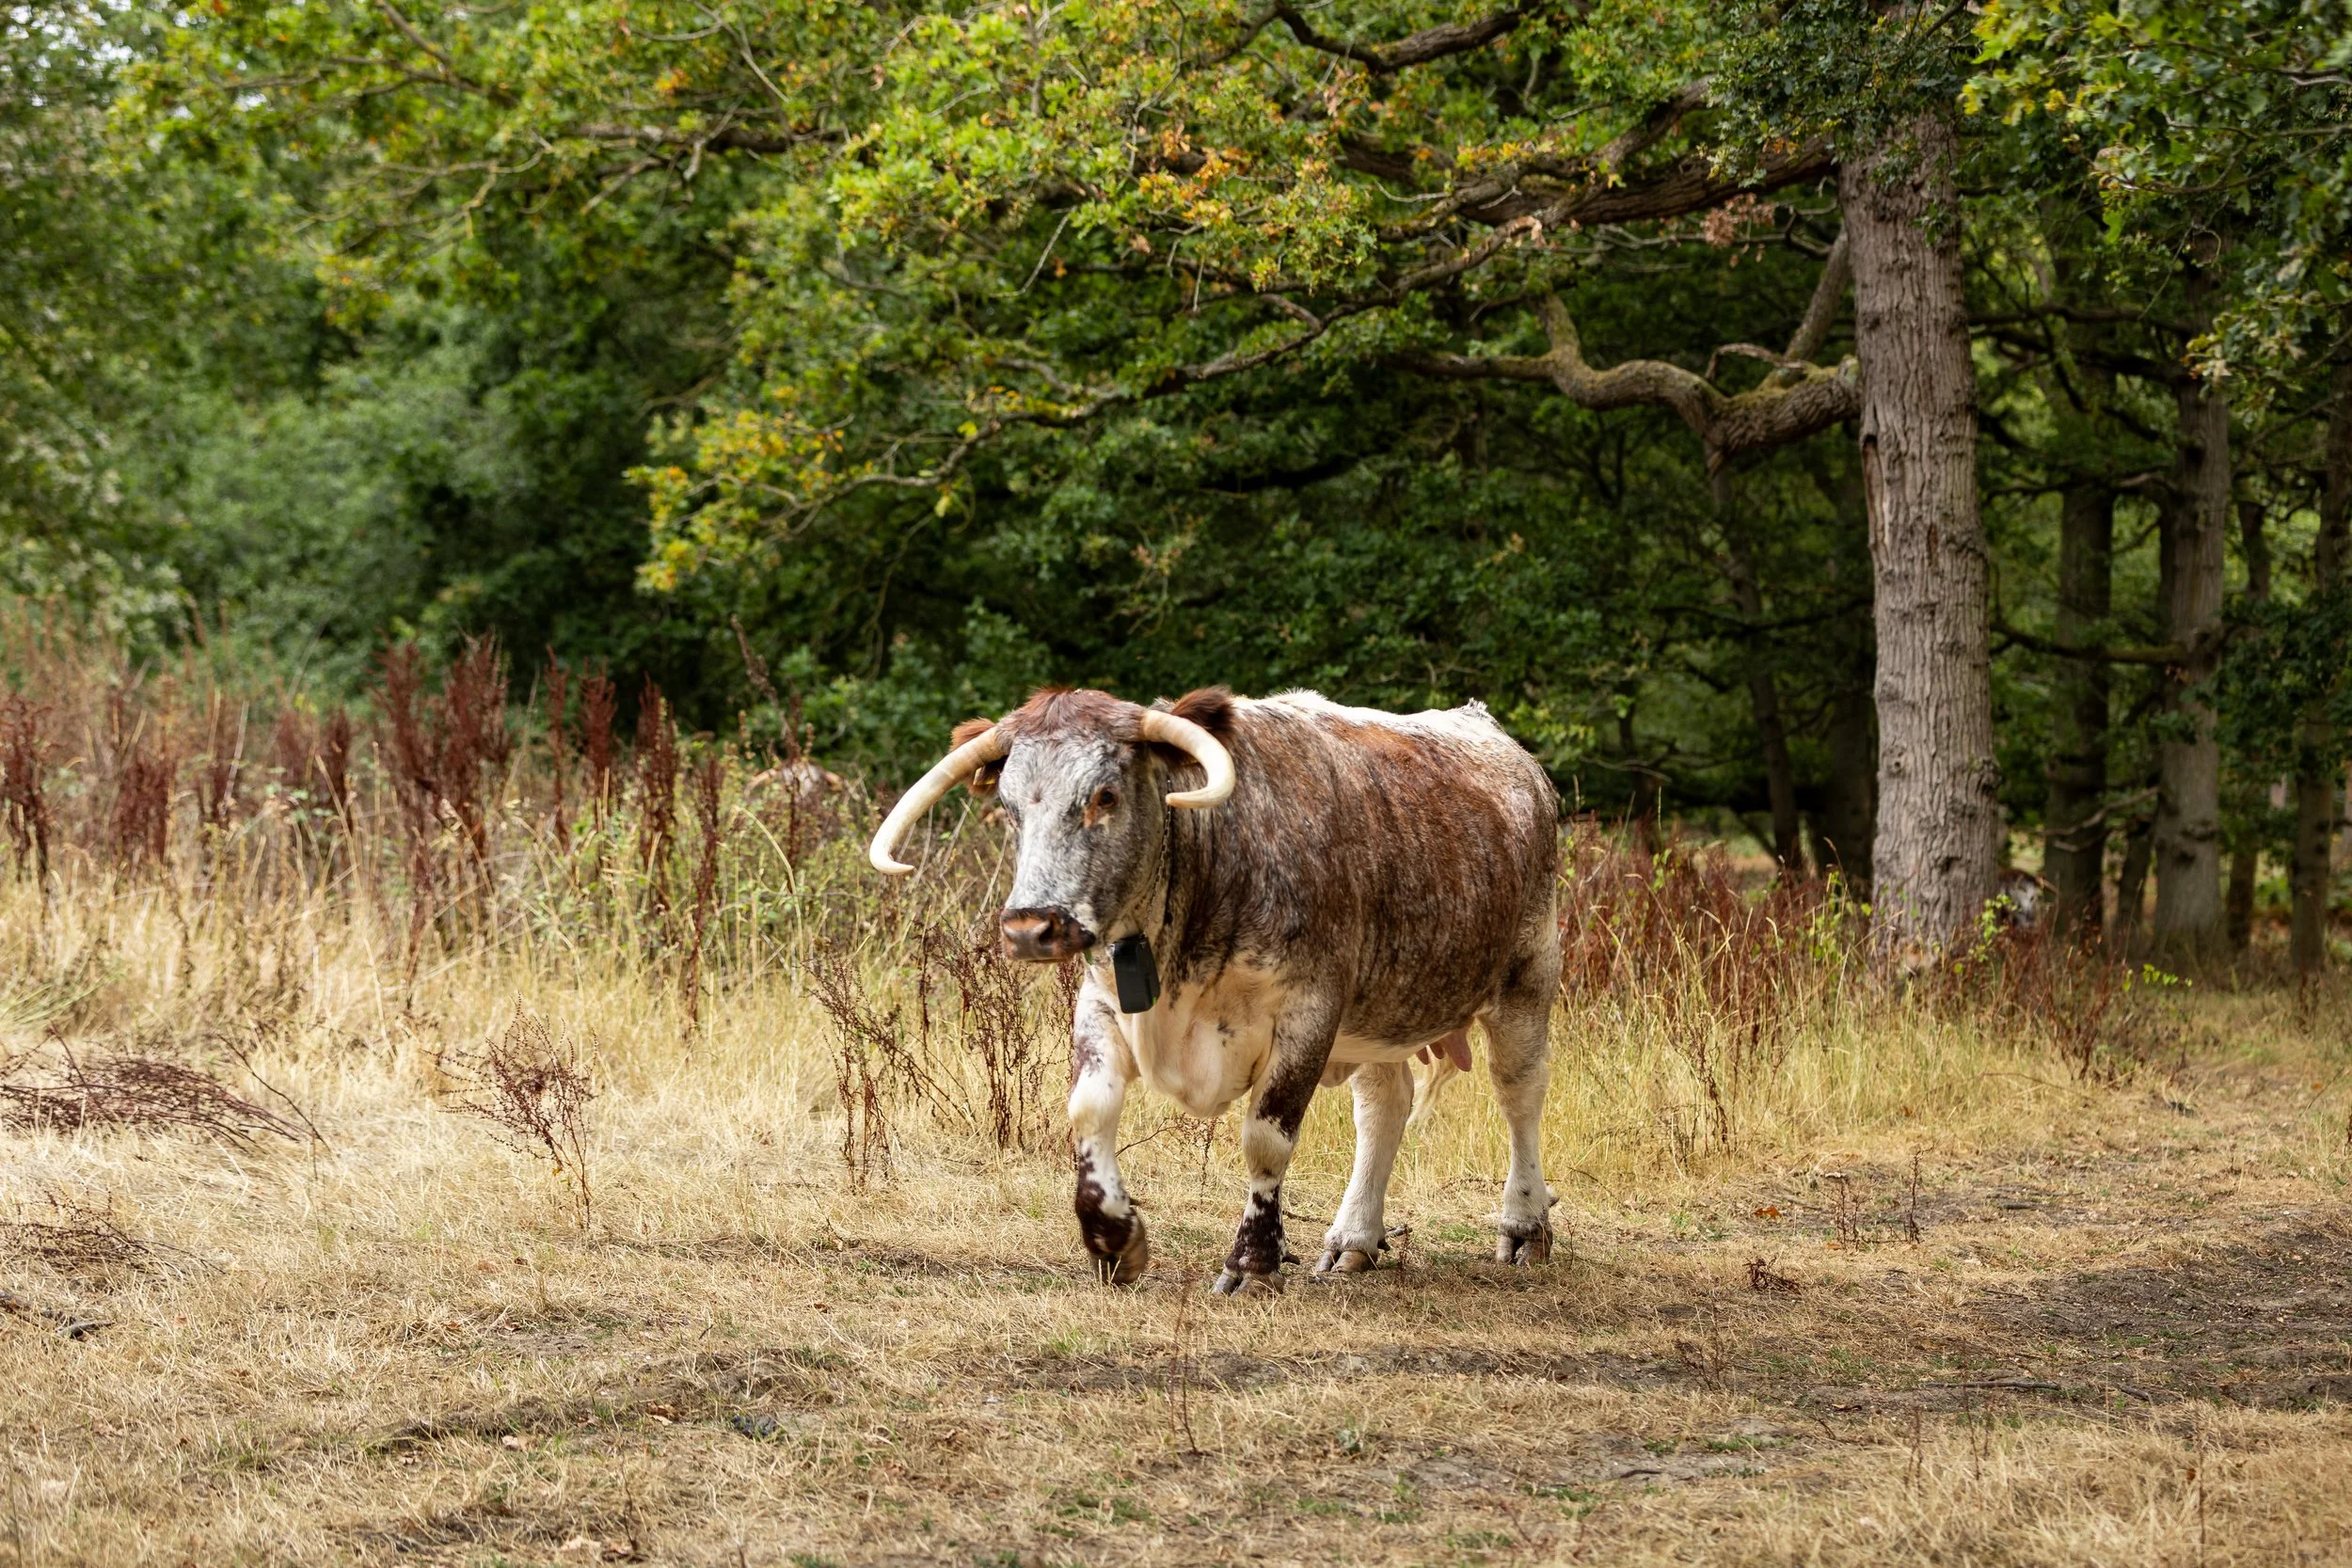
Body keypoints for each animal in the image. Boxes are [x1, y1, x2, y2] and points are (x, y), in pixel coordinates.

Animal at [868, 686, 1560, 1296]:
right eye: (1010, 808)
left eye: (1105, 795)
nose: (1030, 928)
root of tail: (1499, 741)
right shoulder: (1103, 1002)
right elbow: (1089, 1109)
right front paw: (1112, 1238)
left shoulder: (1308, 1014)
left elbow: (1265, 1138)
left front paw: (1253, 1260)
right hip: (1378, 1014)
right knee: (1383, 1106)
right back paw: (1353, 1238)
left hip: (1527, 977)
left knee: (1520, 1095)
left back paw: (1525, 1226)